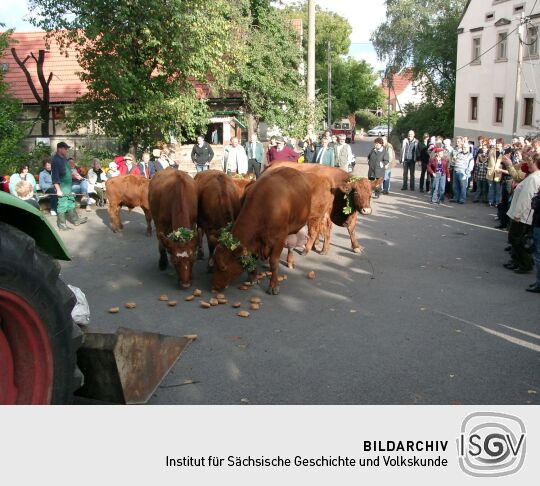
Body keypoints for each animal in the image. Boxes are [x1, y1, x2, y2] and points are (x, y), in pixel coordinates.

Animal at [212, 167, 312, 296]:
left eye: (223, 267)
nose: (215, 286)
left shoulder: (280, 238)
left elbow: (274, 261)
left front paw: (273, 286)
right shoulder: (254, 241)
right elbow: (253, 257)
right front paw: (253, 277)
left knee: (290, 246)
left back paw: (290, 261)